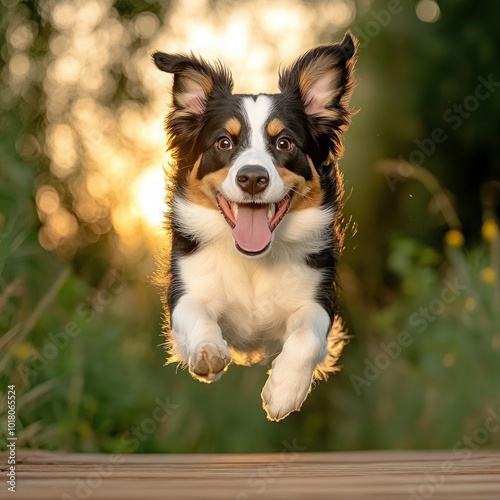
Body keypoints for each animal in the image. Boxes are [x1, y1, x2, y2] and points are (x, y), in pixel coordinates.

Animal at [154, 31, 358, 420]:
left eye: (284, 143)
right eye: (224, 142)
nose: (251, 178)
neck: (253, 261)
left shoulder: (318, 295)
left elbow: (307, 335)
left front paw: (284, 391)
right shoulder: (187, 286)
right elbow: (195, 314)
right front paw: (207, 352)